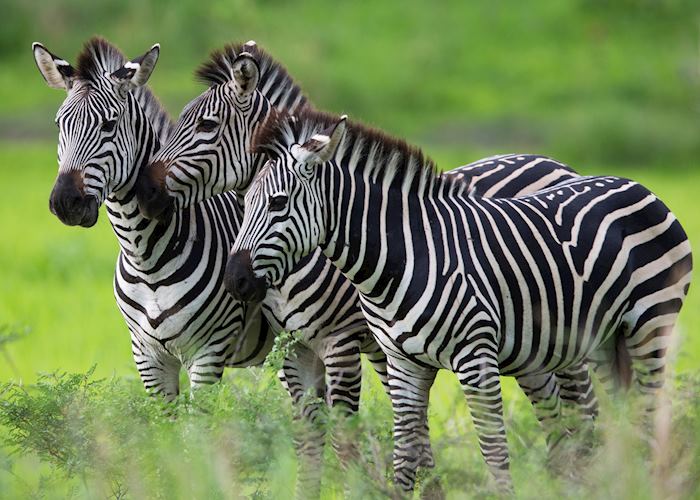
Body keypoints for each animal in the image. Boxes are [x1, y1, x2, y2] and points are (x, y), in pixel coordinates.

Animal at [32, 37, 274, 400]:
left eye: (109, 125)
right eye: (60, 125)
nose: (64, 202)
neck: (144, 255)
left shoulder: (209, 352)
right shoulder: (146, 355)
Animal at [137, 44, 600, 484]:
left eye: (206, 126)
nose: (146, 191)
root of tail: (555, 162)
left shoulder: (344, 341)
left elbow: (350, 443)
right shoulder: (311, 348)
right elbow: (322, 442)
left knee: (585, 411)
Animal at [227, 109, 692, 492]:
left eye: (278, 203)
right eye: (242, 202)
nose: (235, 280)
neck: (403, 257)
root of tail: (636, 184)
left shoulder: (475, 358)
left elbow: (494, 452)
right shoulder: (403, 364)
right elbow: (405, 459)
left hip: (650, 328)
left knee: (647, 420)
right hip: (604, 342)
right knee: (618, 421)